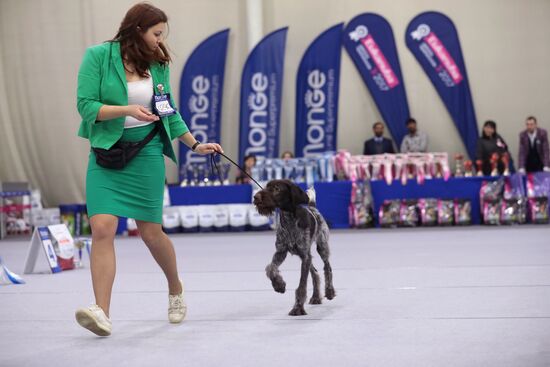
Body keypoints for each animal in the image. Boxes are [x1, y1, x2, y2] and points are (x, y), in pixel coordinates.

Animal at [254, 179, 336, 316]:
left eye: (276, 188)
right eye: (266, 186)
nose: (255, 197)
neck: (289, 220)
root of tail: (312, 207)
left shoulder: (305, 255)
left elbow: (302, 285)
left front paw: (298, 308)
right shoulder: (281, 252)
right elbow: (271, 268)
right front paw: (279, 285)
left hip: (321, 246)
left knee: (327, 267)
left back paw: (329, 291)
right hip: (306, 256)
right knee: (315, 273)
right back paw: (315, 297)